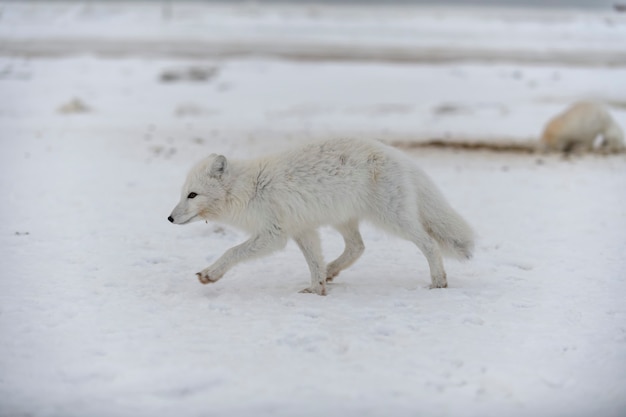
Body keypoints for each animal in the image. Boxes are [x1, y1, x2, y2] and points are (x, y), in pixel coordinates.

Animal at [167, 138, 472, 294]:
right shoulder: (302, 229)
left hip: (392, 219)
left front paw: (210, 274)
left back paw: (438, 282)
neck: (250, 188)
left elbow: (232, 251)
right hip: (344, 220)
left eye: (192, 195)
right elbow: (313, 261)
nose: (169, 219)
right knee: (357, 247)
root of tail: (398, 155)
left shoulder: (274, 234)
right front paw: (316, 288)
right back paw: (331, 271)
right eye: (183, 194)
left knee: (429, 243)